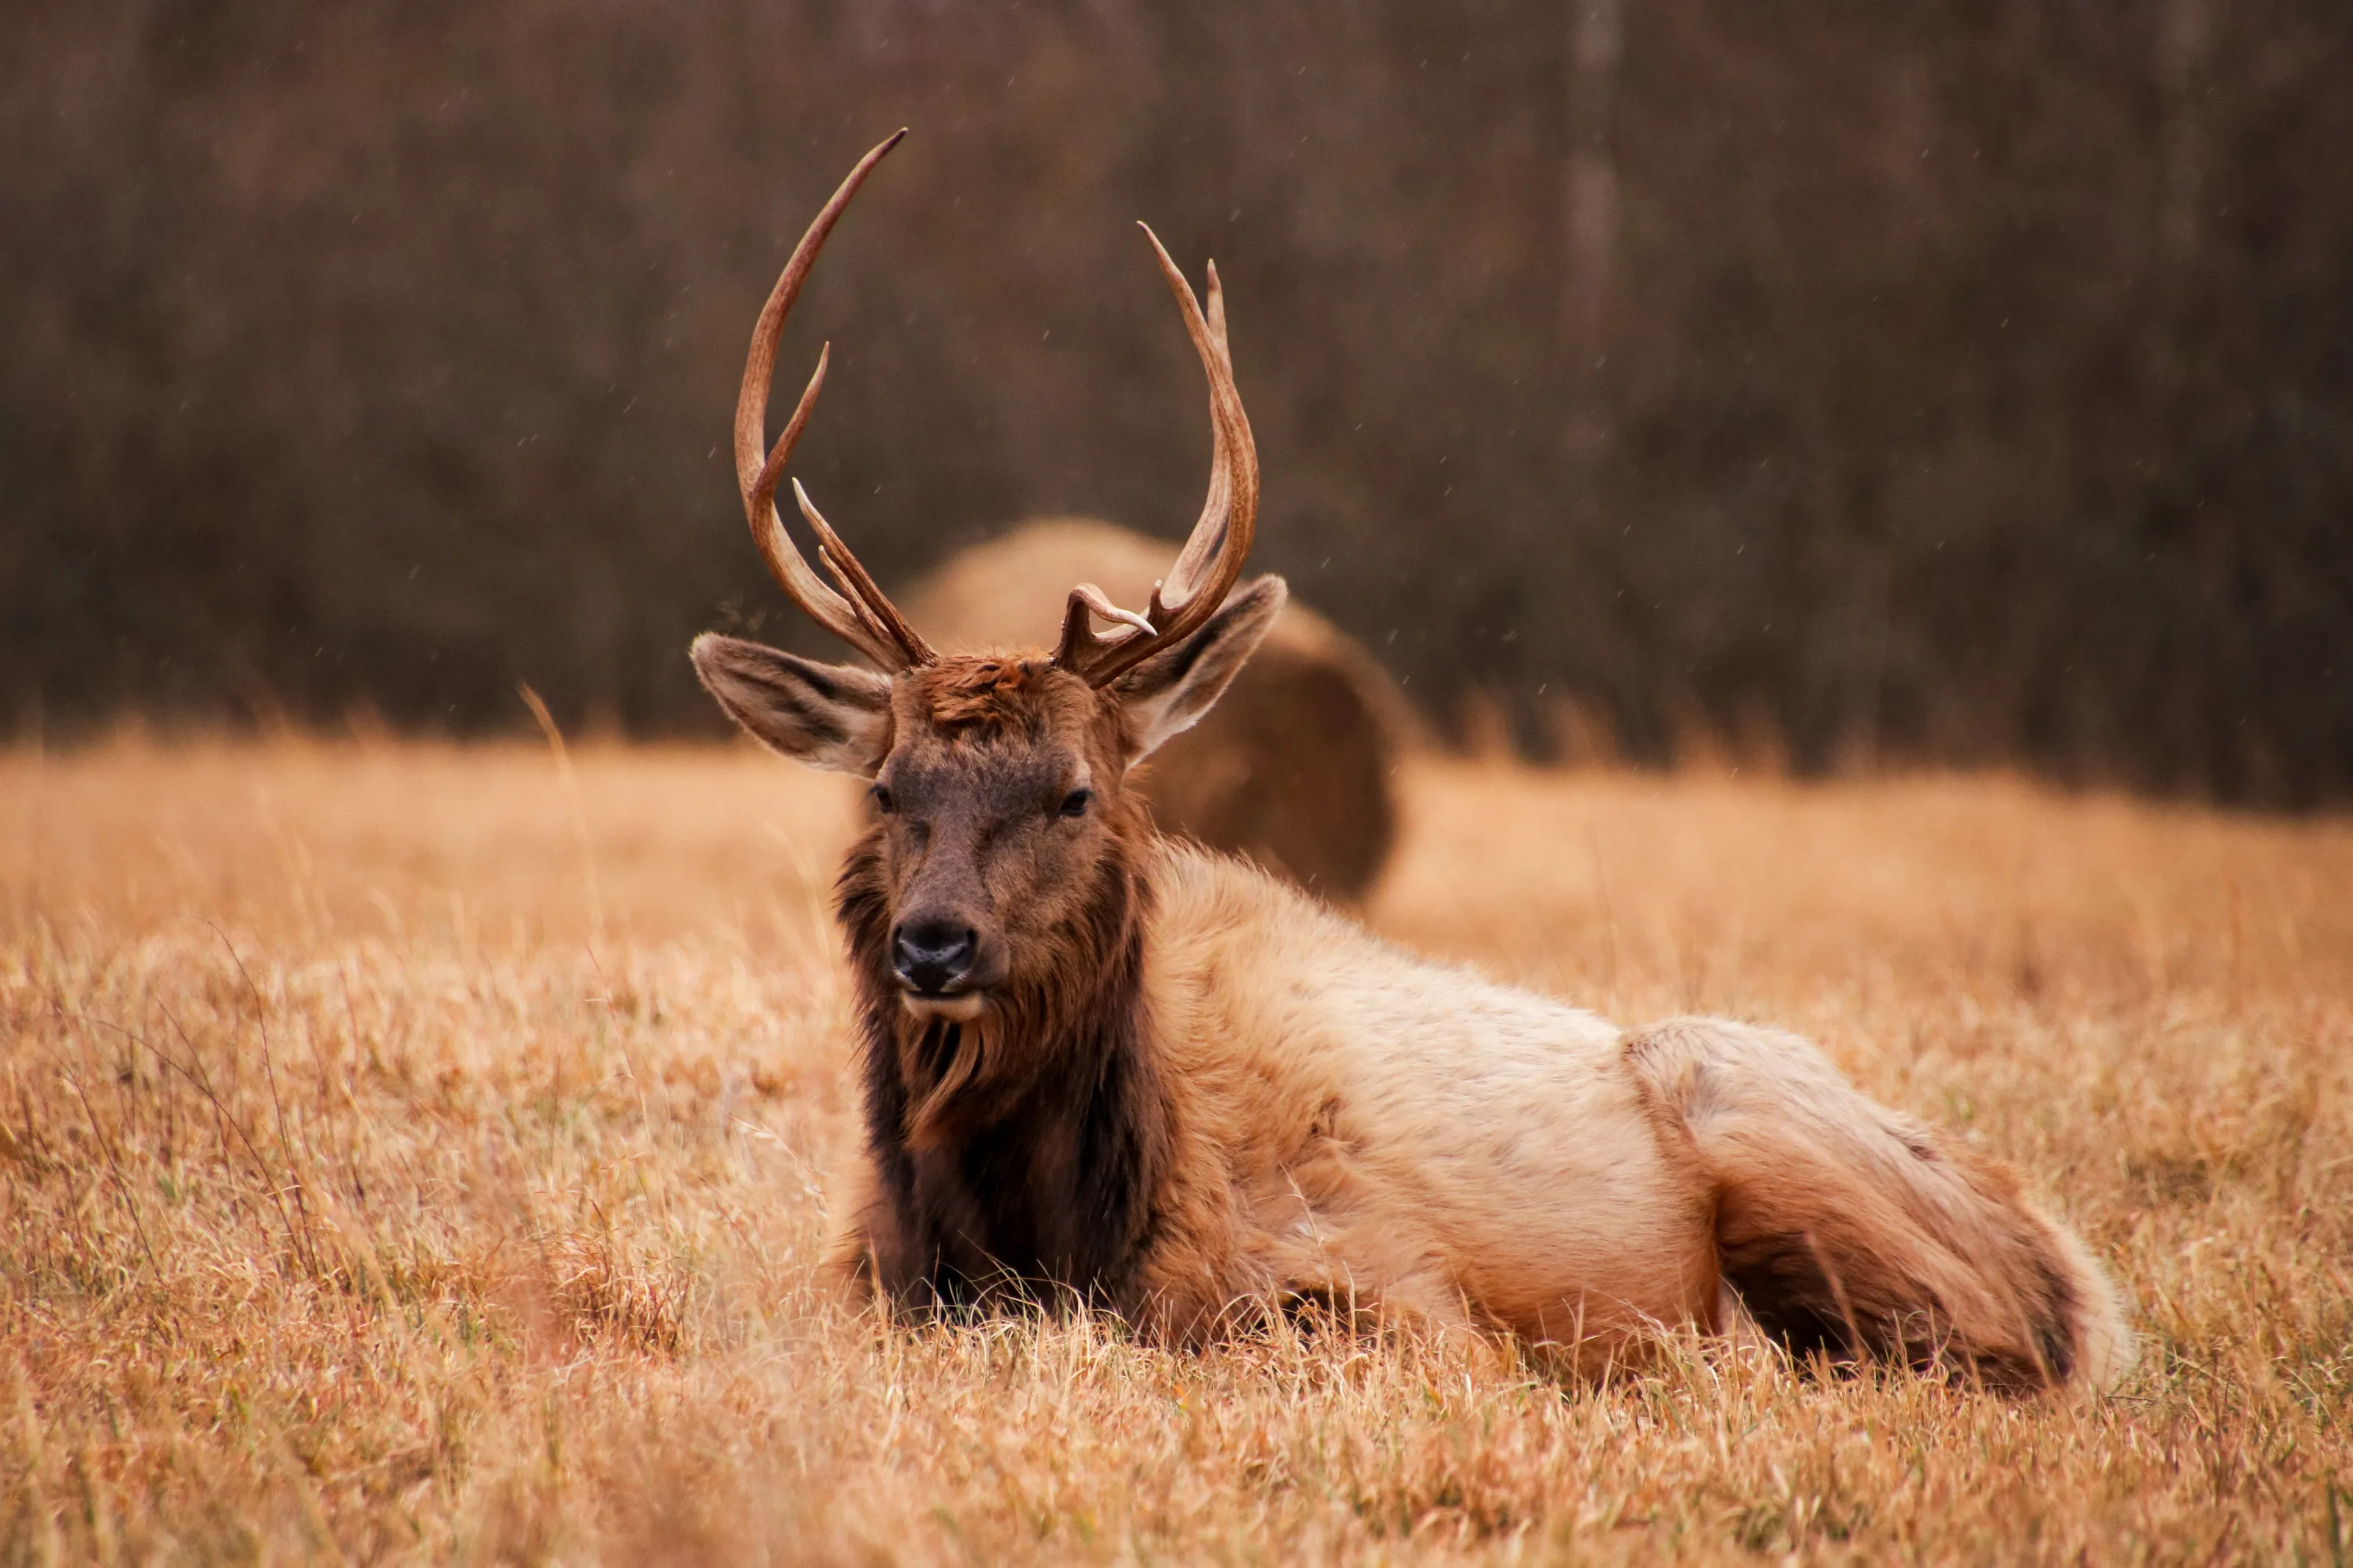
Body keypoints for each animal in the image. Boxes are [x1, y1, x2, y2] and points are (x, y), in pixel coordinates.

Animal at [689, 132, 2133, 1392]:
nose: (933, 943)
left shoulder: (1391, 1279)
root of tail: (2080, 1280)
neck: (1051, 1233)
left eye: (1076, 792)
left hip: (1769, 1136)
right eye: (887, 789)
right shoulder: (861, 1275)